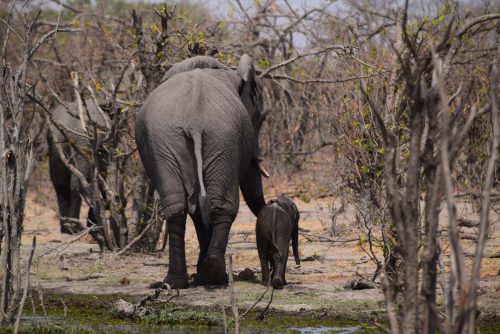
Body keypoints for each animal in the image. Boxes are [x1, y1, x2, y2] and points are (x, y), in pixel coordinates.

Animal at [136, 54, 270, 288]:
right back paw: (215, 275)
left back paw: (176, 282)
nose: (274, 203)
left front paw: (199, 277)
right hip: (223, 138)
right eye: (262, 118)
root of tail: (195, 121)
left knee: (176, 205)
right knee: (222, 205)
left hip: (168, 141)